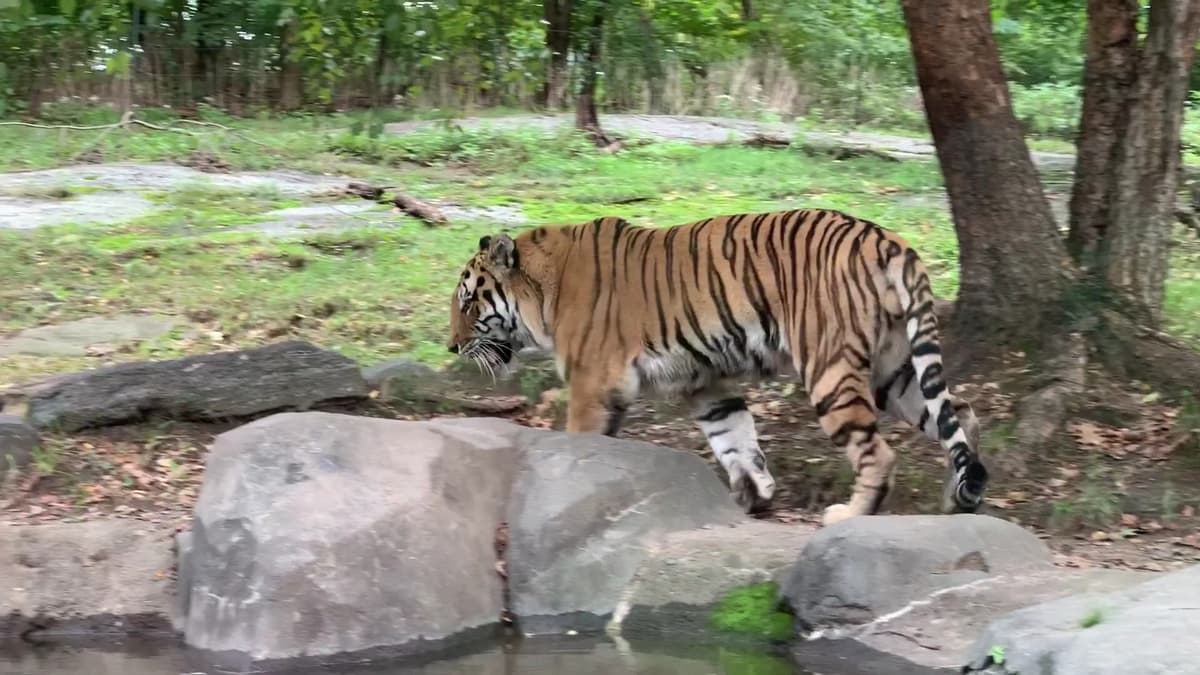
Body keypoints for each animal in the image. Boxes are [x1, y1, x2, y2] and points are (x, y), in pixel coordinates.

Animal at [447, 209, 988, 525]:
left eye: (469, 302)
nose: (451, 347)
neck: (542, 291)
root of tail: (887, 239)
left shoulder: (593, 385)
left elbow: (582, 442)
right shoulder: (706, 381)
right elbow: (735, 440)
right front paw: (753, 497)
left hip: (831, 370)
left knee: (880, 453)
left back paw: (850, 514)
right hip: (894, 369)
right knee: (961, 414)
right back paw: (958, 500)